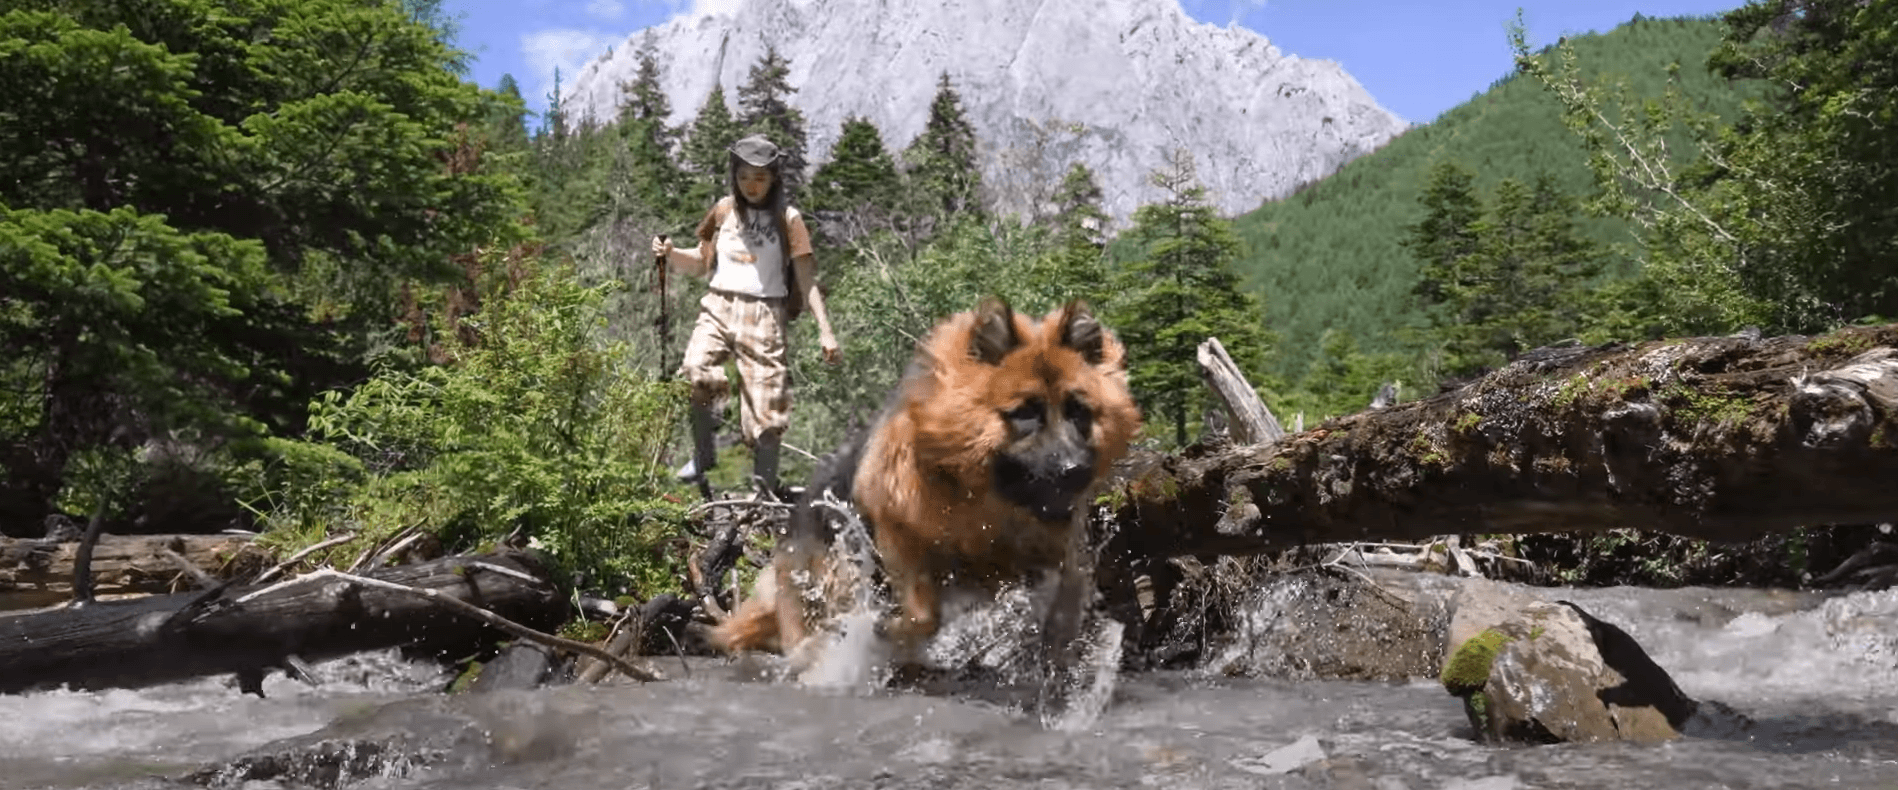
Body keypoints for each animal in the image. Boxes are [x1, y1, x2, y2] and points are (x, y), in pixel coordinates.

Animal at [702, 296, 1131, 672]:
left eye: (1078, 411)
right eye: (1025, 413)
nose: (1075, 470)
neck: (983, 498)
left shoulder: (1048, 554)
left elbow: (1066, 596)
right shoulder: (897, 532)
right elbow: (924, 612)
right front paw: (890, 631)